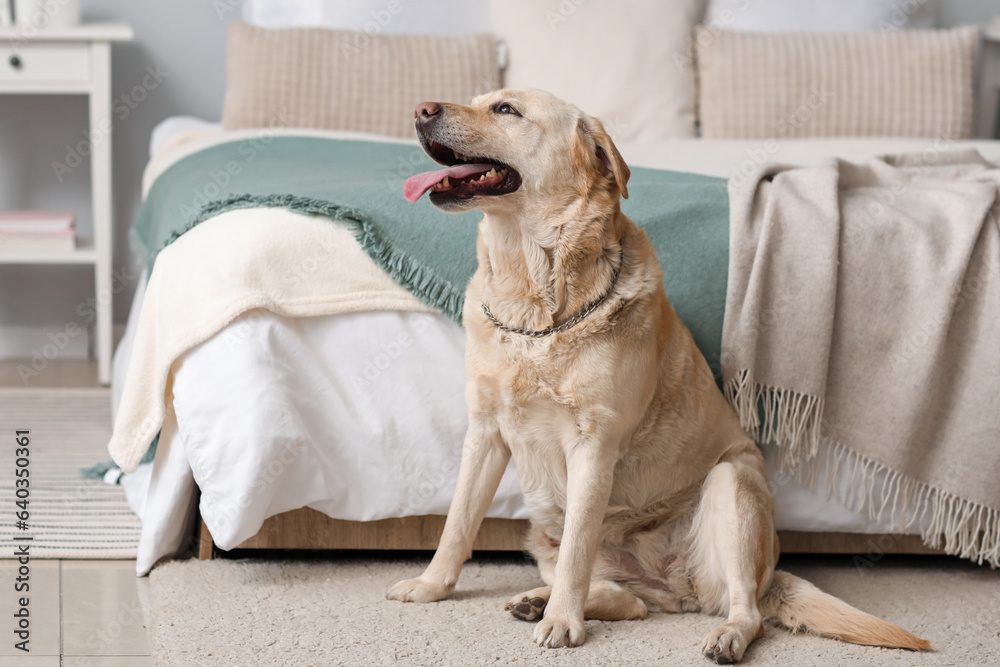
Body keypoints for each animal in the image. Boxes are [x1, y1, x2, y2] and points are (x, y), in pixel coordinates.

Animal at [386, 88, 924, 664]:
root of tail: (672, 583)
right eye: (478, 100)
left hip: (732, 486)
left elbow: (577, 549)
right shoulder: (485, 431)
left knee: (744, 610)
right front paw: (432, 586)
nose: (420, 110)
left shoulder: (593, 446)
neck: (535, 301)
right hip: (541, 532)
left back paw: (719, 634)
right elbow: (458, 523)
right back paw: (539, 599)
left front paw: (563, 624)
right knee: (630, 602)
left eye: (507, 110)